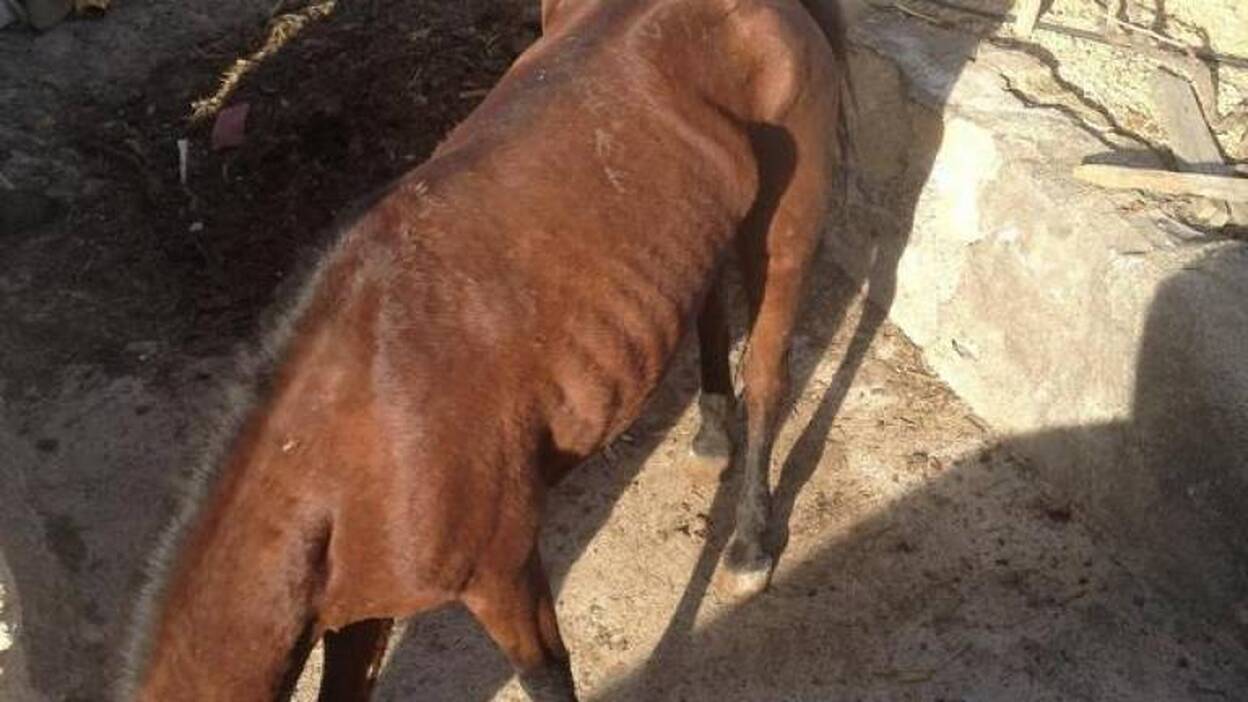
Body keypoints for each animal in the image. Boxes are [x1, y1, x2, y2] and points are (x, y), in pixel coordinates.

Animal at [119, 0, 851, 699]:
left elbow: (546, 676)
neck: (337, 450)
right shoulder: (361, 609)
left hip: (784, 231)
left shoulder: (502, 571)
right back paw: (711, 431)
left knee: (769, 375)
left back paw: (750, 546)